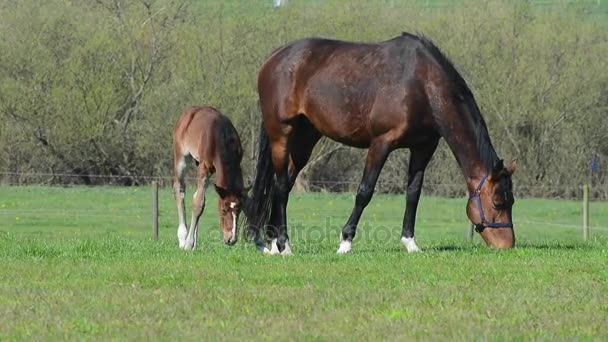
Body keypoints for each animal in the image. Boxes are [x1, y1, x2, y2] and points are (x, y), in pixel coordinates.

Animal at [173, 105, 245, 250]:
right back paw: (183, 238)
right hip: (181, 156)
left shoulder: (237, 164)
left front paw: (193, 243)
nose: (231, 239)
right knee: (179, 189)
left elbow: (199, 200)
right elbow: (198, 203)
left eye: (239, 210)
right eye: (223, 209)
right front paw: (188, 244)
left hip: (197, 161)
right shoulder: (204, 167)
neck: (221, 136)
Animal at [245, 32, 516, 256]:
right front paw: (345, 243)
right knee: (281, 186)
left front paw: (410, 243)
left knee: (282, 186)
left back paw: (274, 244)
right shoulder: (381, 143)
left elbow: (413, 194)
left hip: (305, 139)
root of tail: (274, 58)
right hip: (281, 135)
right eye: (498, 202)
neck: (422, 84)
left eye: (511, 201)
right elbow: (365, 192)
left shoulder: (423, 148)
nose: (507, 245)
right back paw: (284, 245)